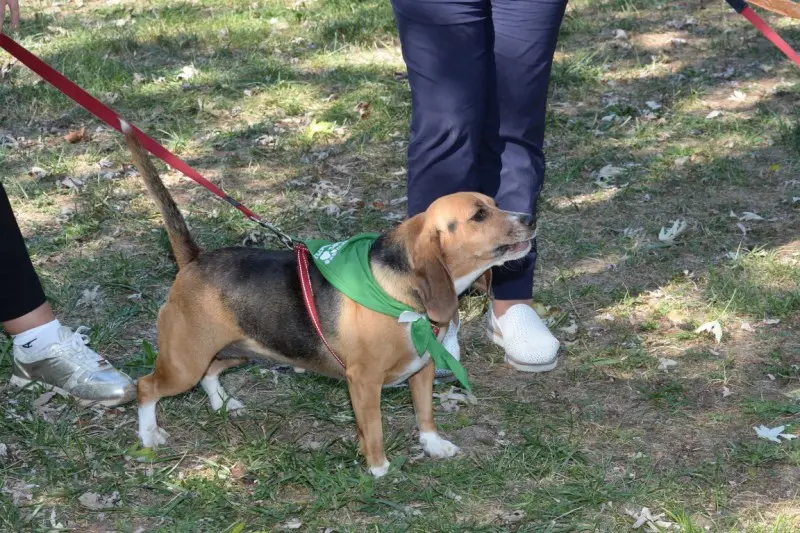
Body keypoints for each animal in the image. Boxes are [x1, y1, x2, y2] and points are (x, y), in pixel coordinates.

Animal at [123, 122, 536, 476]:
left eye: (495, 203)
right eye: (479, 215)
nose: (530, 217)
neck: (397, 295)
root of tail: (195, 259)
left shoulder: (423, 369)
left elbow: (425, 414)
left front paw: (433, 445)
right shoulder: (364, 382)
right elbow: (373, 429)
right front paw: (379, 469)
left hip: (236, 351)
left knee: (210, 374)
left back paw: (223, 403)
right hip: (183, 364)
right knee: (146, 387)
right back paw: (148, 436)